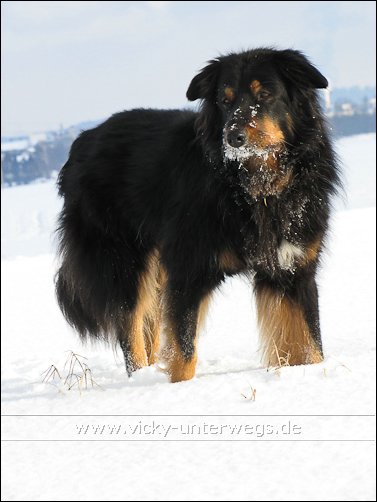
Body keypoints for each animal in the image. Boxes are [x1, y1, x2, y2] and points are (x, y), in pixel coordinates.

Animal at [56, 49, 340, 382]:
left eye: (265, 95)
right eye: (224, 101)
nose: (233, 138)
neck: (254, 186)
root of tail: (81, 142)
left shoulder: (293, 269)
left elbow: (311, 343)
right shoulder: (188, 269)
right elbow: (183, 351)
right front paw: (180, 387)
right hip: (123, 262)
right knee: (130, 328)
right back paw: (139, 379)